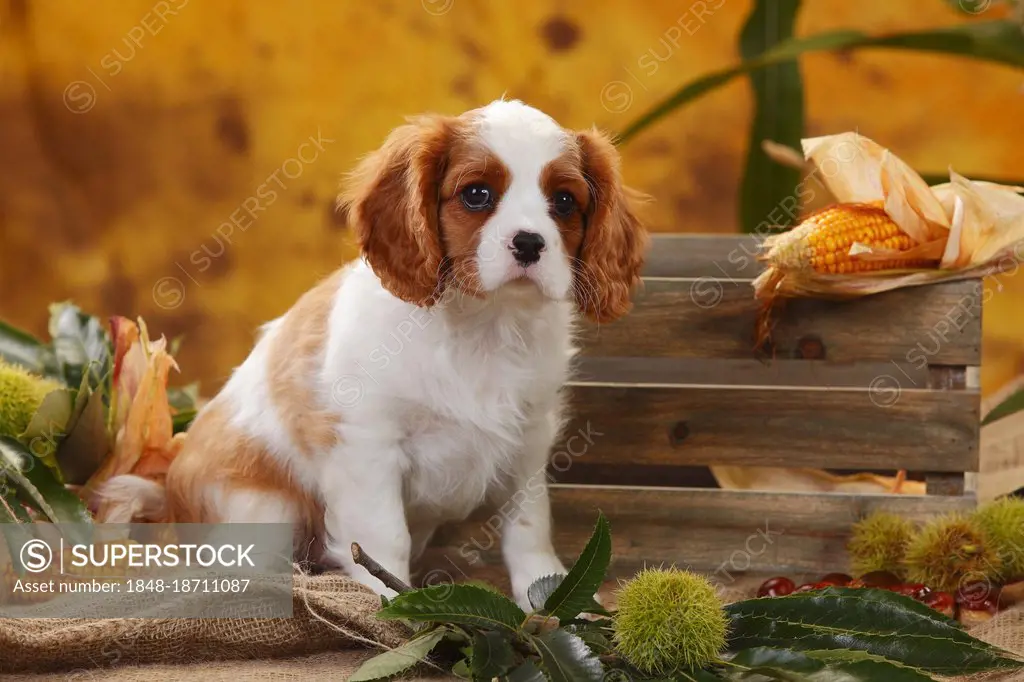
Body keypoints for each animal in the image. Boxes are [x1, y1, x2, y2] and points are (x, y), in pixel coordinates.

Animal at [103, 96, 647, 606]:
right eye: (476, 195)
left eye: (564, 201)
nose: (530, 242)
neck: (483, 326)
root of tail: (168, 503)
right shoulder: (367, 445)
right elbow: (384, 536)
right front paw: (393, 605)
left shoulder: (529, 442)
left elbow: (528, 526)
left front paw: (550, 592)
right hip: (263, 509)